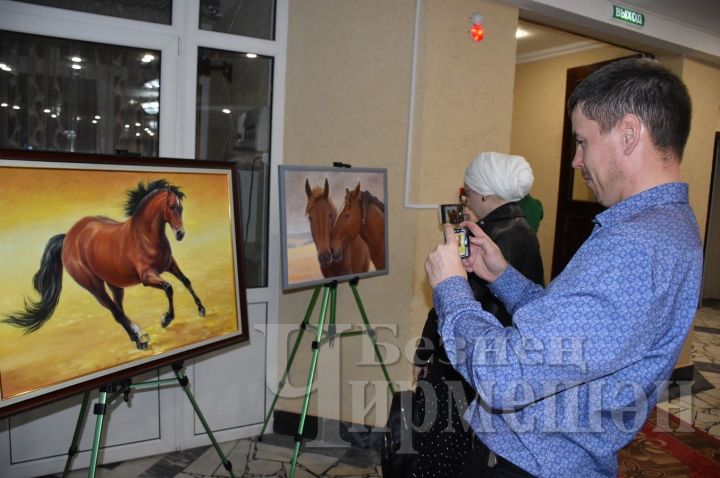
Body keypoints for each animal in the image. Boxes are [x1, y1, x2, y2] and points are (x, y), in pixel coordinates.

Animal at [2, 179, 205, 352]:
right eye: (171, 206)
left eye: (181, 207)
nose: (180, 234)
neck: (143, 236)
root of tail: (68, 238)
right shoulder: (148, 276)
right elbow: (169, 288)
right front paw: (165, 319)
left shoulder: (170, 265)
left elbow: (186, 281)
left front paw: (201, 309)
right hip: (95, 287)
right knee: (116, 313)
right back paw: (140, 339)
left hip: (114, 284)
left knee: (119, 309)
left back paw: (138, 335)